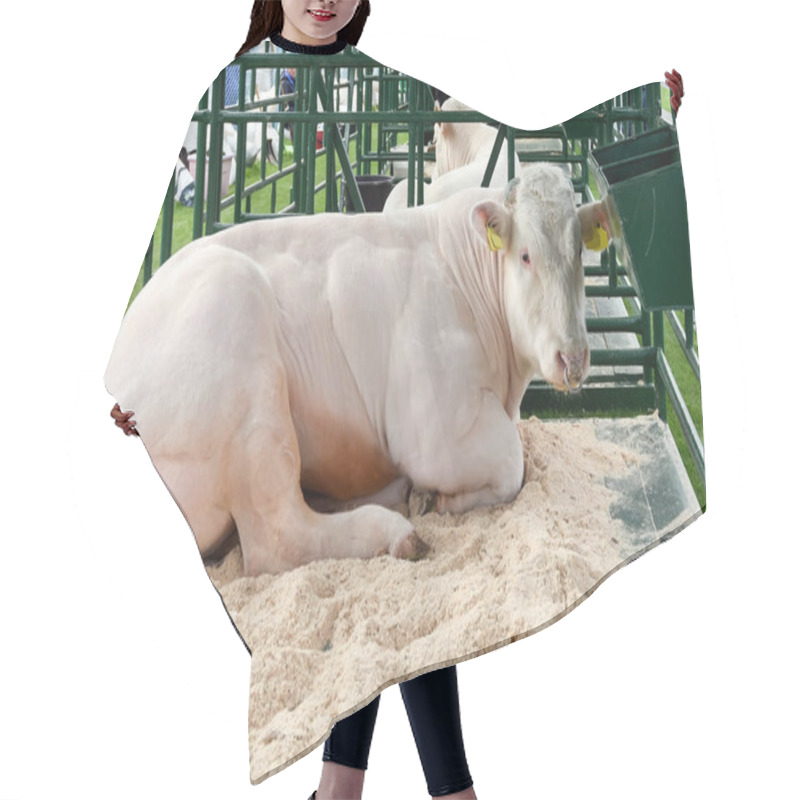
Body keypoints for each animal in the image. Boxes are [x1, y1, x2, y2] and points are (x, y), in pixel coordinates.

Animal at [104, 164, 608, 576]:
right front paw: (442, 500)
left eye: (580, 254)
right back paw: (396, 530)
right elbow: (510, 463)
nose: (573, 358)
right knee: (277, 535)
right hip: (241, 350)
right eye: (525, 255)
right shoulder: (437, 429)